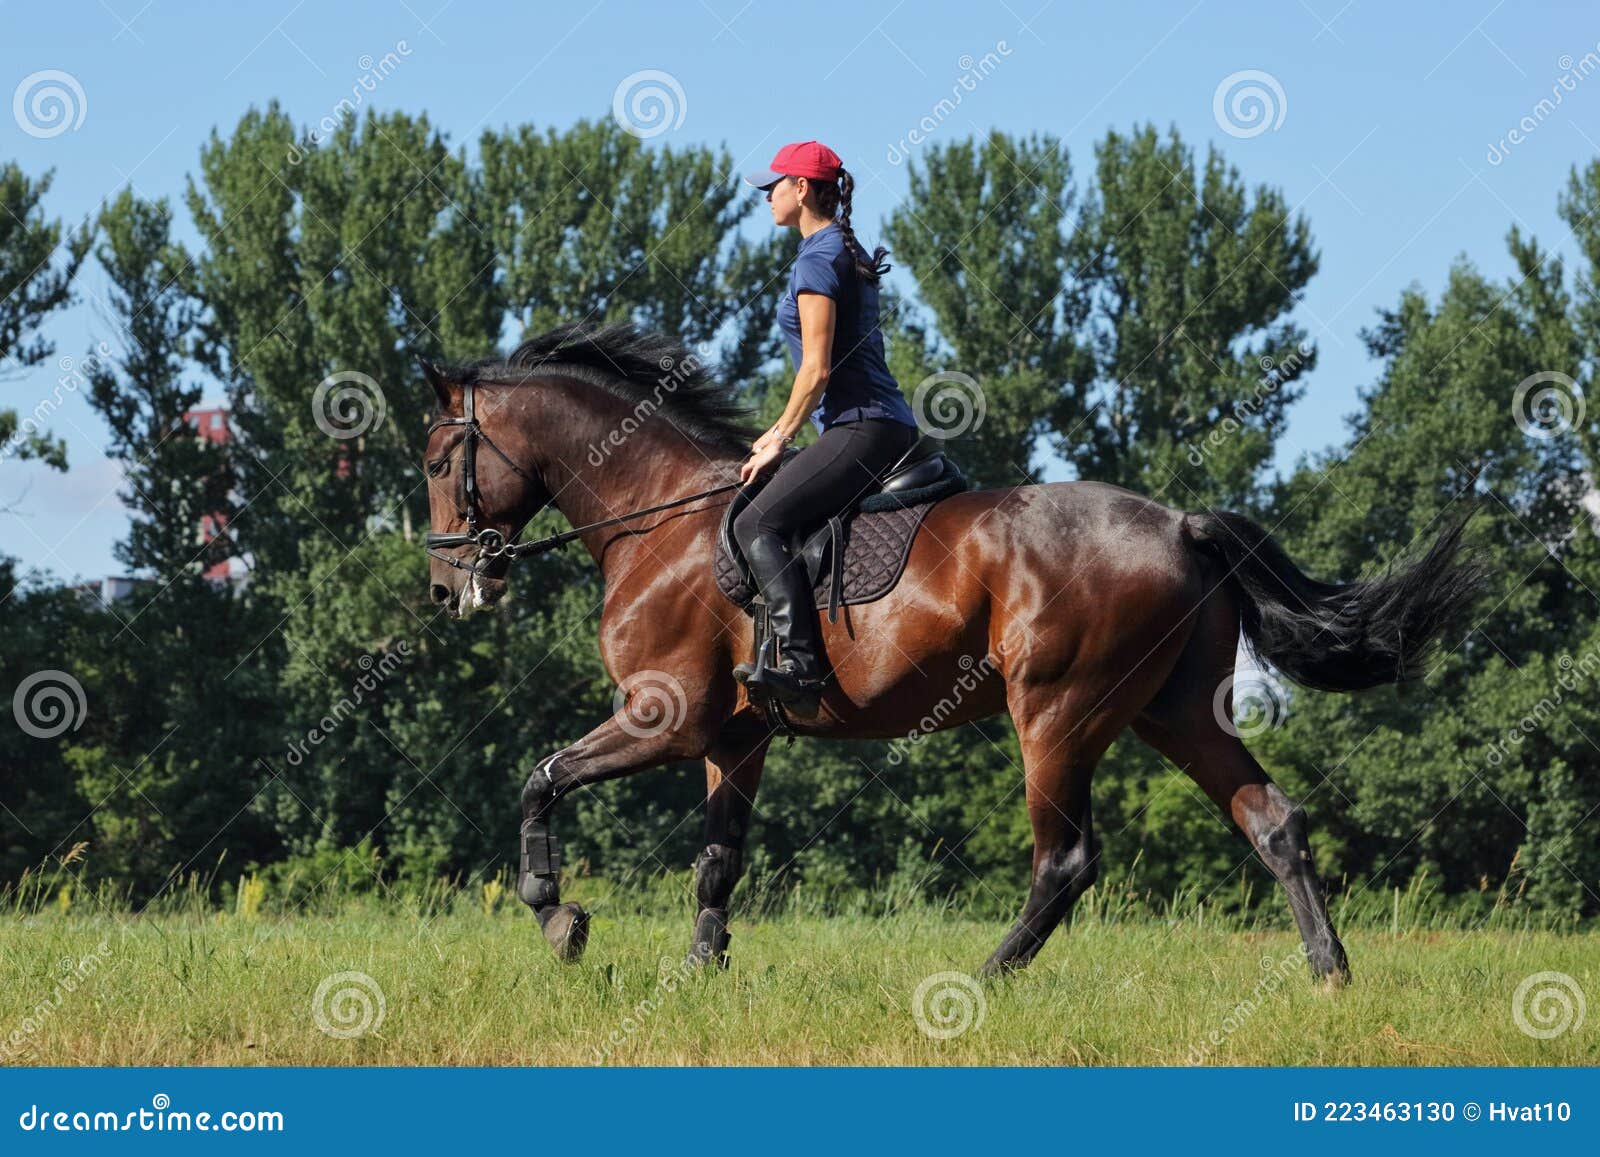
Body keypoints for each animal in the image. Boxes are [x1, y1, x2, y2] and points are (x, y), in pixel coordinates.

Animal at [419, 321, 1478, 979]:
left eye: (436, 460)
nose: (445, 584)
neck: (658, 516)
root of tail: (1181, 523)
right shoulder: (734, 737)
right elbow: (718, 861)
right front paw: (698, 974)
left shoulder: (662, 717)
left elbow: (540, 777)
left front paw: (558, 915)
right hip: (1172, 708)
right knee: (1272, 820)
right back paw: (1329, 971)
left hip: (1057, 712)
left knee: (1066, 859)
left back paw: (989, 976)